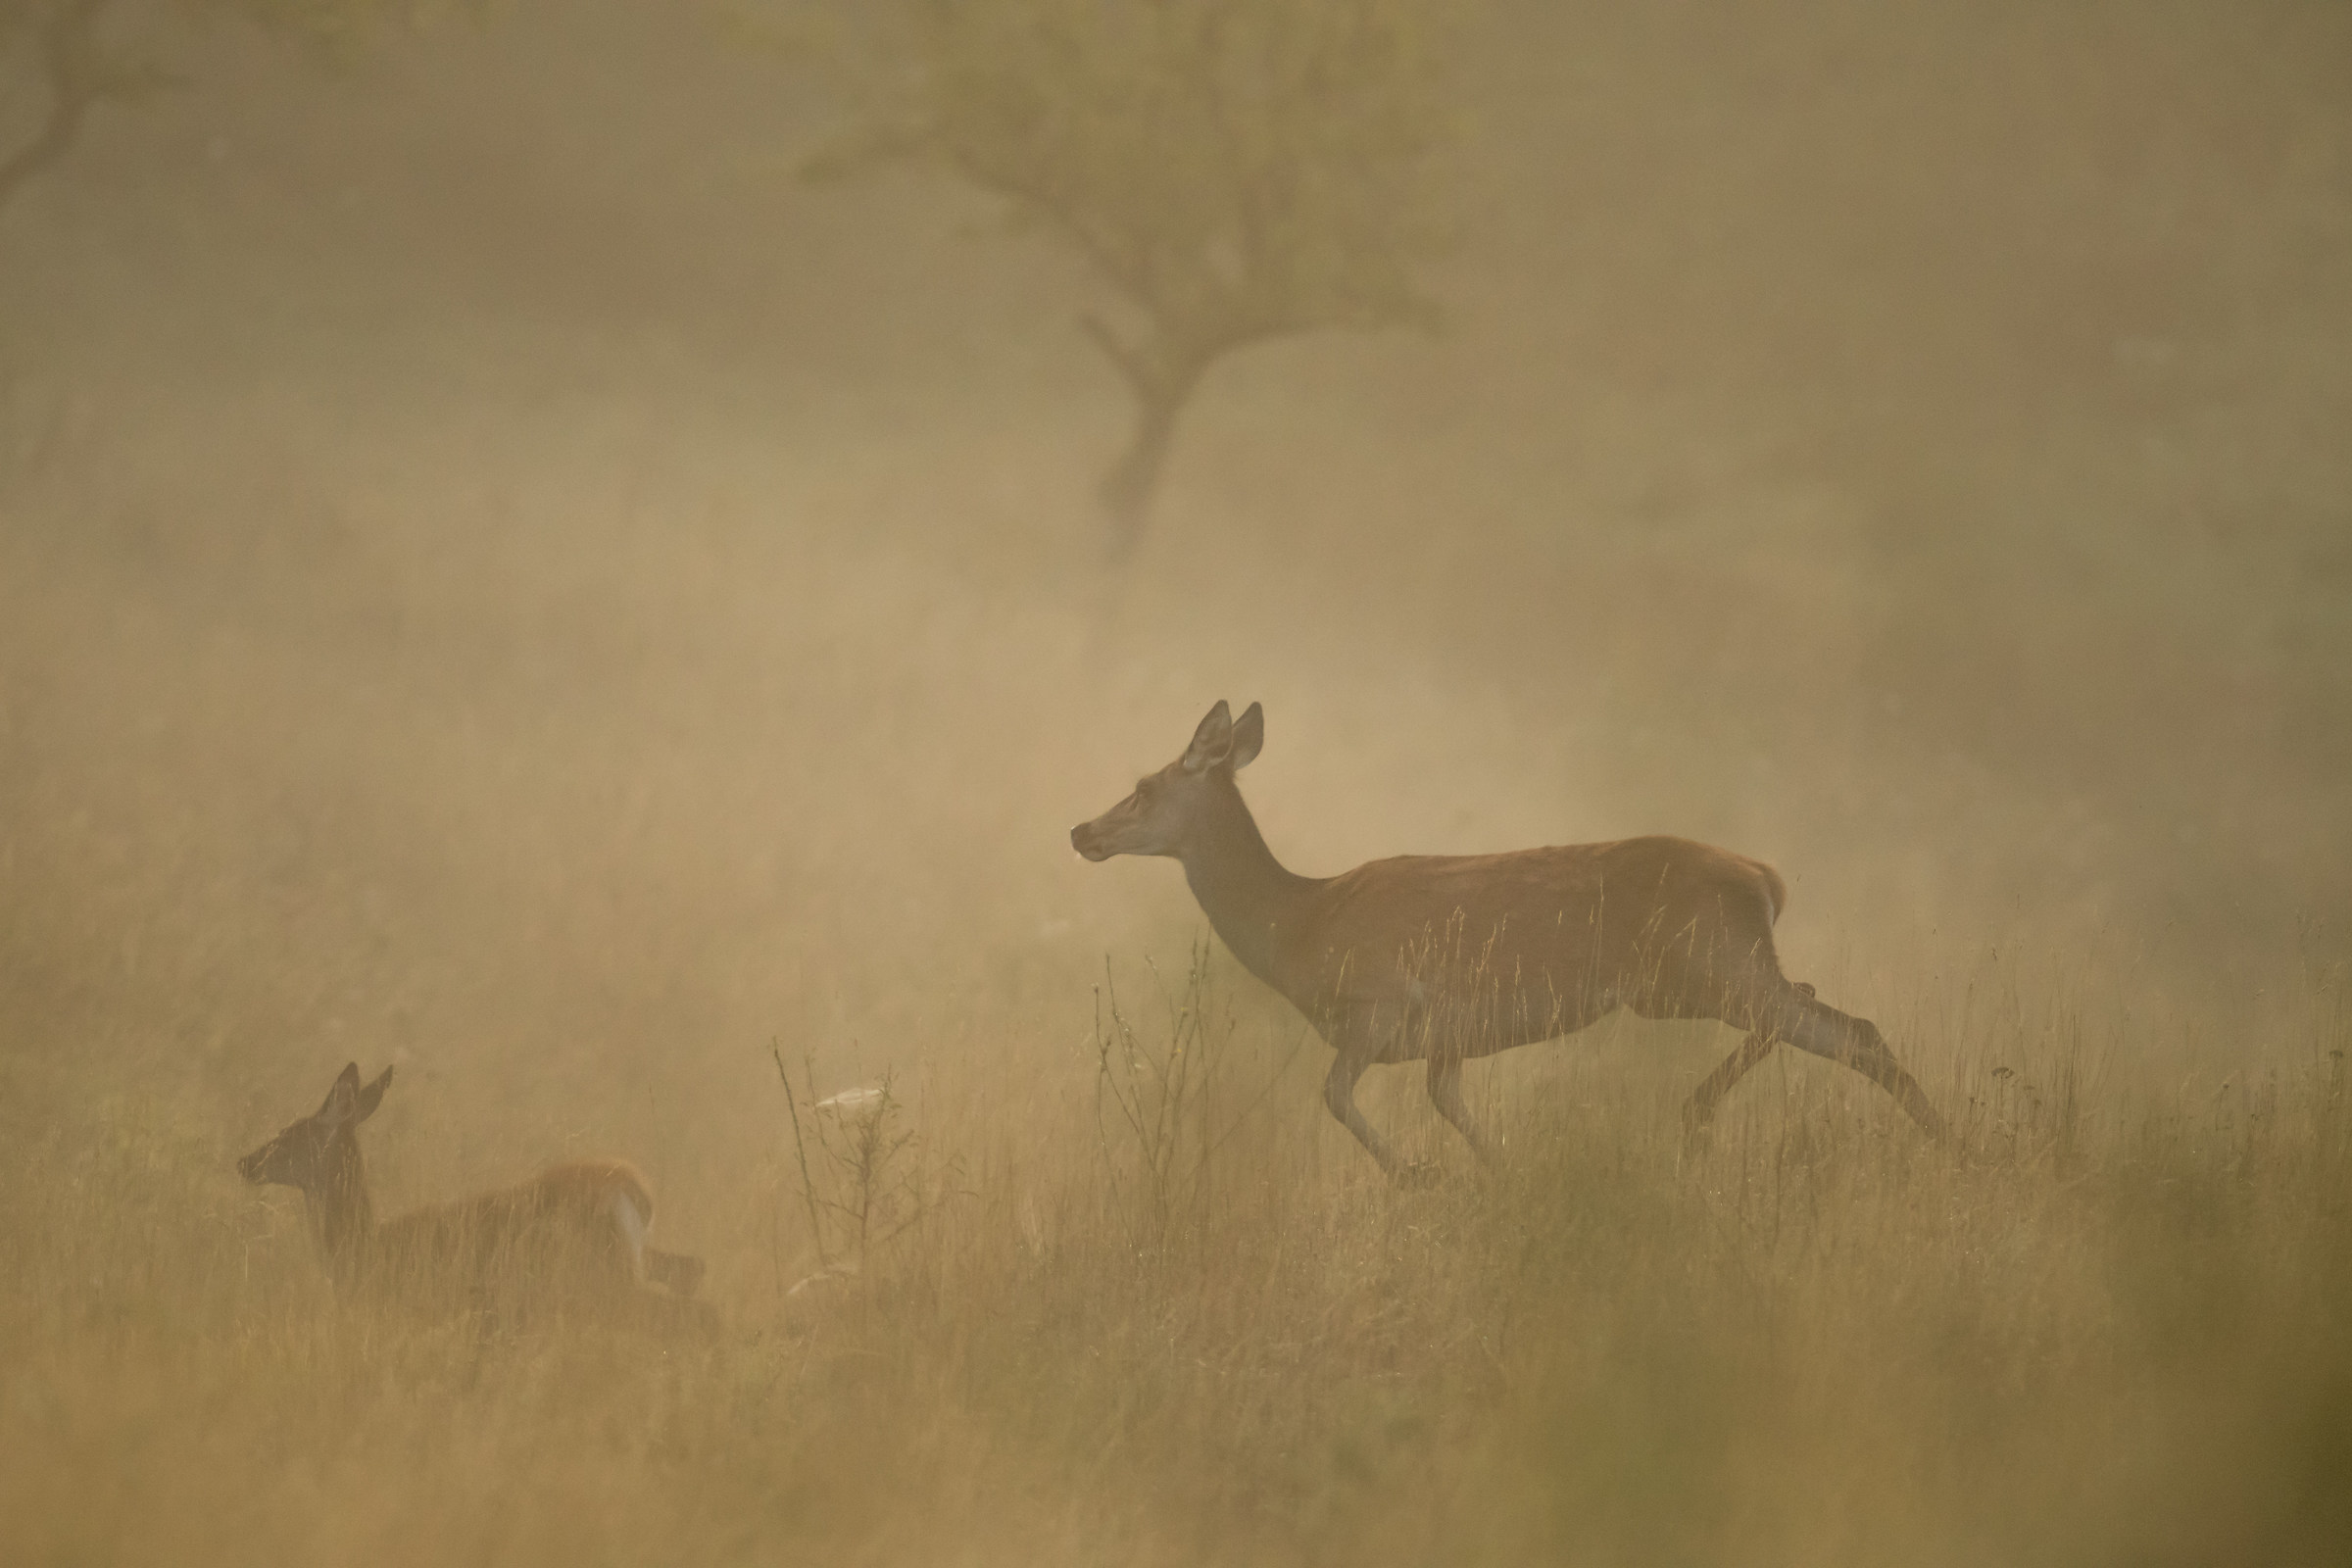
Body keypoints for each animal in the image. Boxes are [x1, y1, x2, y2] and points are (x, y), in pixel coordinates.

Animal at [237, 1063, 712, 1330]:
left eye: (291, 1134)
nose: (246, 1162)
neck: (364, 1243)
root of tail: (634, 1187)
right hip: (633, 1260)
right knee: (694, 1273)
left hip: (600, 1273)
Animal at [1071, 701, 1947, 1182]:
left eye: (1143, 787)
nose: (1082, 831)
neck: (1300, 925)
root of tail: (1766, 877)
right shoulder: (1448, 1038)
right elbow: (1447, 1102)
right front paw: (1497, 1173)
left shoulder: (1380, 1001)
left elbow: (1334, 1095)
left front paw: (1417, 1175)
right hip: (1703, 973)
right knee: (1830, 1017)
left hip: (1700, 967)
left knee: (1839, 1025)